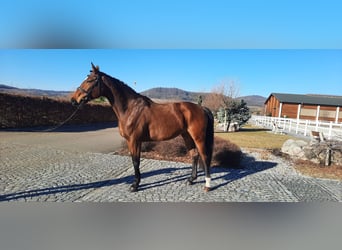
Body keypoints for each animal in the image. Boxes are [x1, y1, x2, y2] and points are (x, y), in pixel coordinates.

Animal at [70, 63, 212, 192]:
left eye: (90, 80)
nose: (73, 100)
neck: (130, 108)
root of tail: (201, 108)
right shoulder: (131, 141)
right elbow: (135, 160)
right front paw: (136, 184)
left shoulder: (134, 140)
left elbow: (135, 161)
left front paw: (135, 186)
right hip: (186, 135)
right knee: (194, 155)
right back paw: (191, 180)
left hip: (198, 137)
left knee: (204, 156)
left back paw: (207, 185)